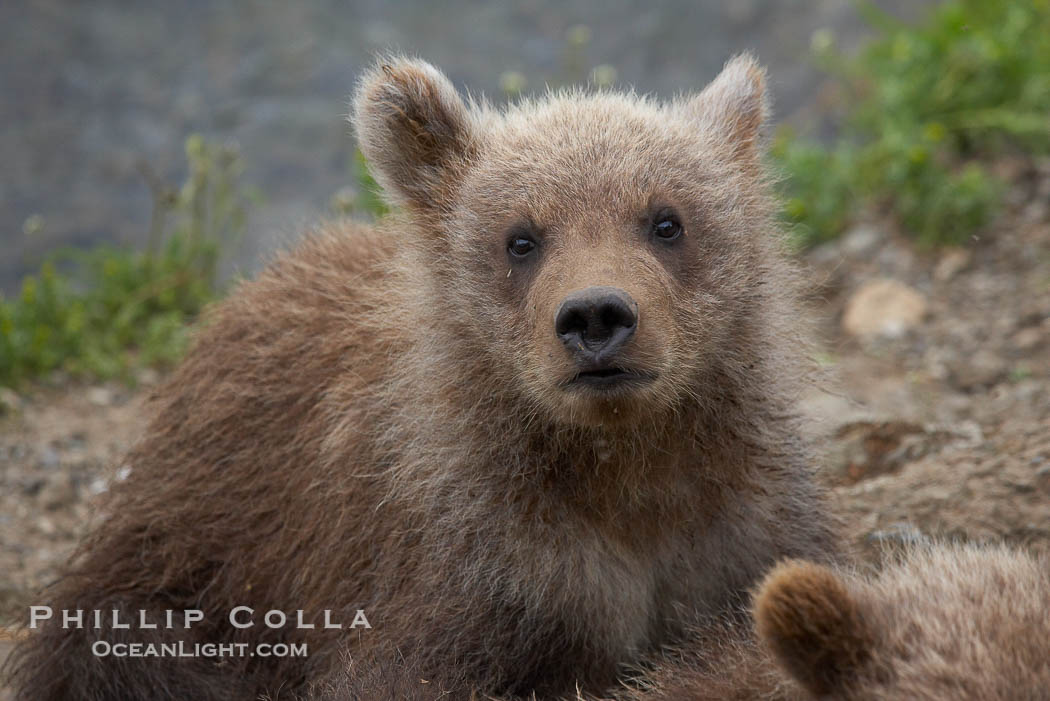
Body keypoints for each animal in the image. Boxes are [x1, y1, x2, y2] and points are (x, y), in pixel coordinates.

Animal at [6, 55, 840, 700]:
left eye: (666, 219)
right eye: (521, 237)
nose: (597, 315)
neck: (623, 467)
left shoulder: (744, 533)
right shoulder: (464, 562)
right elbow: (403, 669)